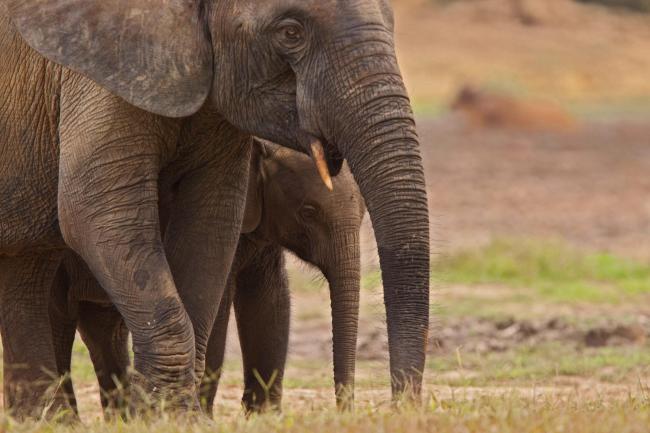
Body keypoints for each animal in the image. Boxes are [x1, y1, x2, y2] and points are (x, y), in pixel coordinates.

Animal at [0, 0, 430, 418]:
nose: (396, 406)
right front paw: (176, 417)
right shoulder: (94, 70)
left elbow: (220, 237)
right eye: (291, 32)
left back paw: (54, 419)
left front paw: (203, 416)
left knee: (35, 279)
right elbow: (95, 214)